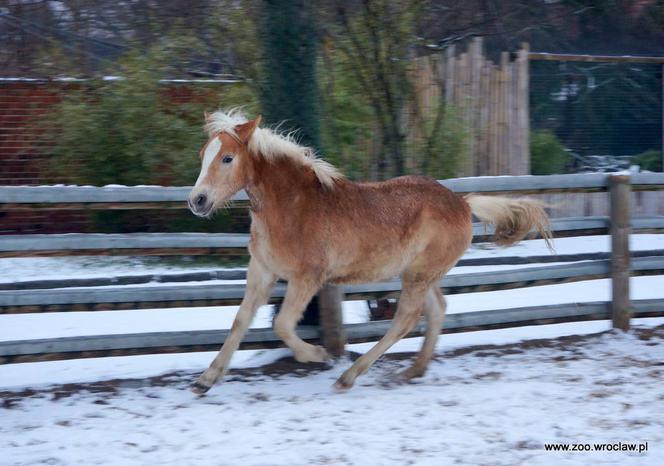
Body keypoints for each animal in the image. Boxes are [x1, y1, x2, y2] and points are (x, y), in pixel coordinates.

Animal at [187, 109, 548, 394]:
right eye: (202, 154)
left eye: (228, 158)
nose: (197, 201)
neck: (293, 207)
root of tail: (462, 203)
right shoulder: (262, 271)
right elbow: (240, 320)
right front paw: (206, 379)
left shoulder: (308, 277)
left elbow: (283, 325)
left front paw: (318, 355)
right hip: (422, 274)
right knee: (437, 310)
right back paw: (413, 371)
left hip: (417, 275)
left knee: (406, 319)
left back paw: (349, 376)